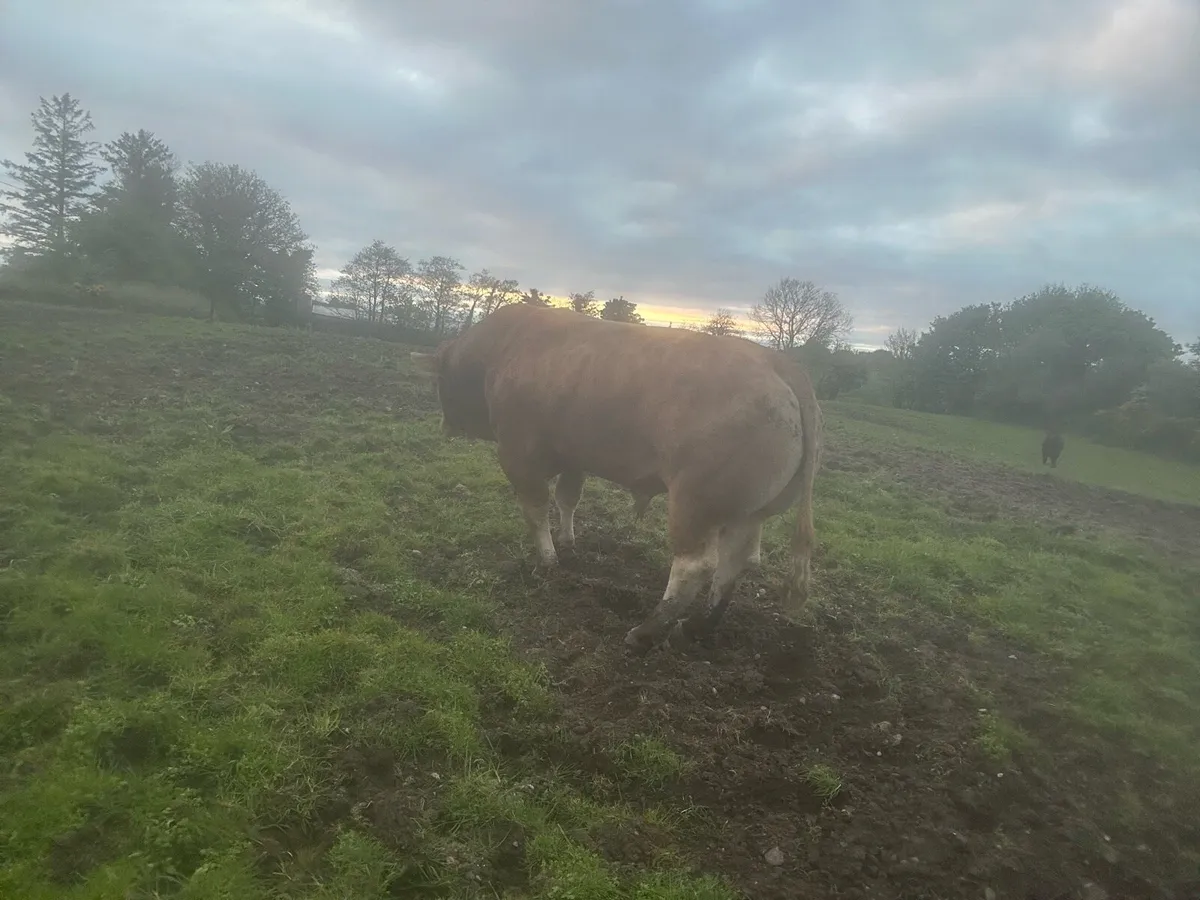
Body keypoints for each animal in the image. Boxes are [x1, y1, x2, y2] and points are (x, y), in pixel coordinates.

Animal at [410, 303, 823, 652]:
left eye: (437, 381)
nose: (445, 425)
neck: (500, 349)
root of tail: (777, 362)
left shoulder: (518, 455)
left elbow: (535, 510)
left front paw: (547, 560)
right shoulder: (574, 455)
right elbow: (568, 498)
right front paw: (568, 540)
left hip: (697, 501)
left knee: (695, 565)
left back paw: (646, 631)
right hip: (748, 511)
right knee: (736, 561)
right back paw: (696, 627)